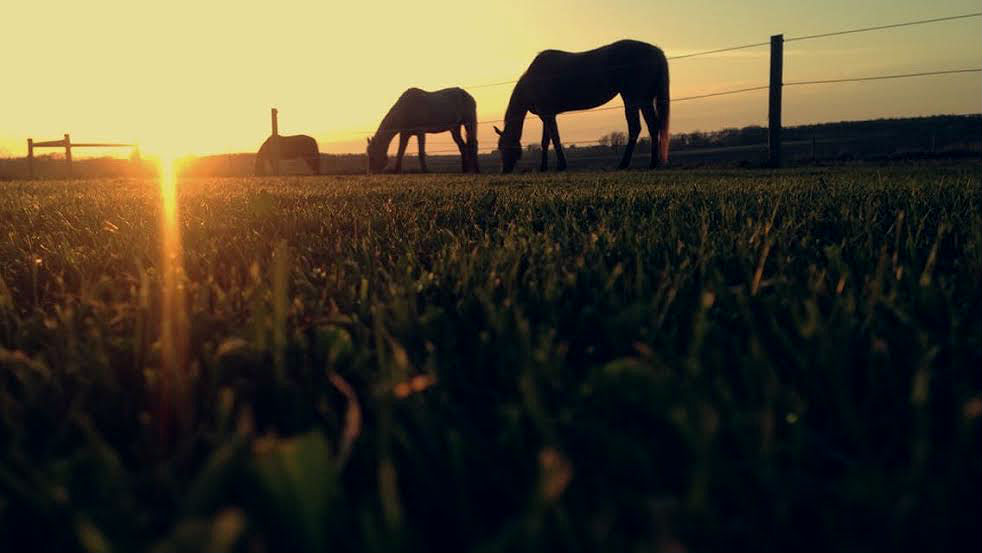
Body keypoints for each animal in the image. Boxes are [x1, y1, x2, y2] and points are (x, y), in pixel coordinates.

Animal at [496, 39, 672, 171]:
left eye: (503, 146)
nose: (505, 170)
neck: (533, 80)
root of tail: (656, 51)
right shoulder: (546, 115)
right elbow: (545, 141)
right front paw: (543, 167)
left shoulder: (548, 114)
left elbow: (555, 138)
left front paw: (561, 165)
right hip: (644, 99)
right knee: (653, 126)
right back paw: (652, 163)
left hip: (633, 98)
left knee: (635, 128)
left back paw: (625, 164)